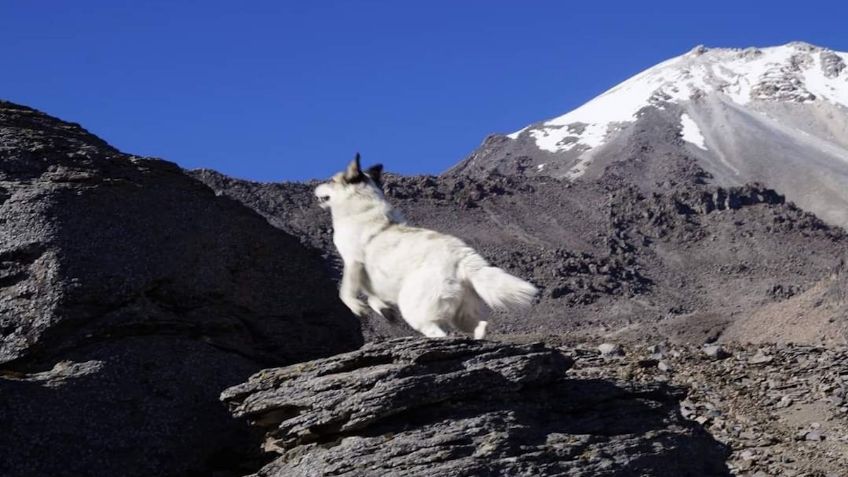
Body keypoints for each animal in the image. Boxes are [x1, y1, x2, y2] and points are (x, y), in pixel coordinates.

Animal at [312, 153, 536, 338]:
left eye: (331, 180)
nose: (316, 188)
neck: (360, 205)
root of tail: (462, 257)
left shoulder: (353, 262)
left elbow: (345, 292)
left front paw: (357, 307)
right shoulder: (369, 277)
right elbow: (372, 296)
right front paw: (384, 310)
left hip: (416, 308)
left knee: (439, 332)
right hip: (462, 313)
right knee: (481, 326)